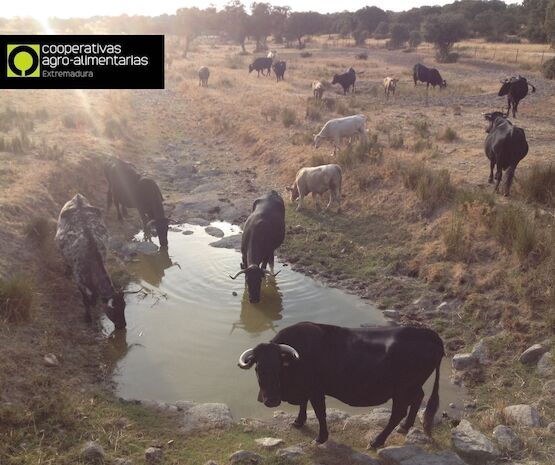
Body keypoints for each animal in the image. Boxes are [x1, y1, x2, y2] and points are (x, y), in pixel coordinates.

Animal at [239, 320, 444, 448]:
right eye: (258, 368)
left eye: (279, 367)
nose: (271, 400)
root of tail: (428, 333)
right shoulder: (306, 389)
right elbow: (304, 405)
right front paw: (298, 422)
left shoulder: (316, 390)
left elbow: (320, 413)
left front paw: (321, 438)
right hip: (413, 386)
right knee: (418, 398)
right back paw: (405, 426)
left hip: (402, 389)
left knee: (398, 413)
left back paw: (376, 442)